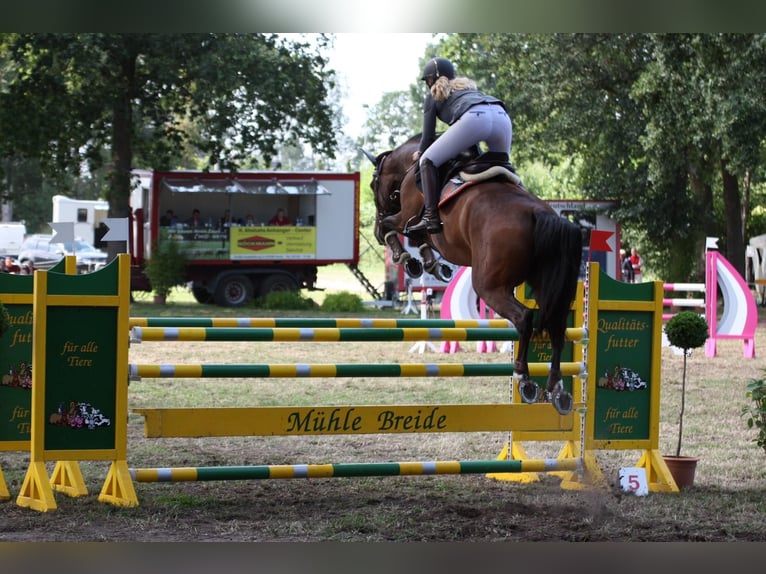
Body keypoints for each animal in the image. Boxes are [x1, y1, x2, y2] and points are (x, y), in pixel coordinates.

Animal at [366, 135, 584, 414]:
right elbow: (420, 240)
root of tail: (539, 213)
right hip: (546, 285)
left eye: (373, 184)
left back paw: (524, 378)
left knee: (524, 318)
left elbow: (394, 228)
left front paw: (407, 259)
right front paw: (431, 265)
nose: (372, 230)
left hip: (489, 287)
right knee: (557, 327)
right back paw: (556, 387)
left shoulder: (406, 216)